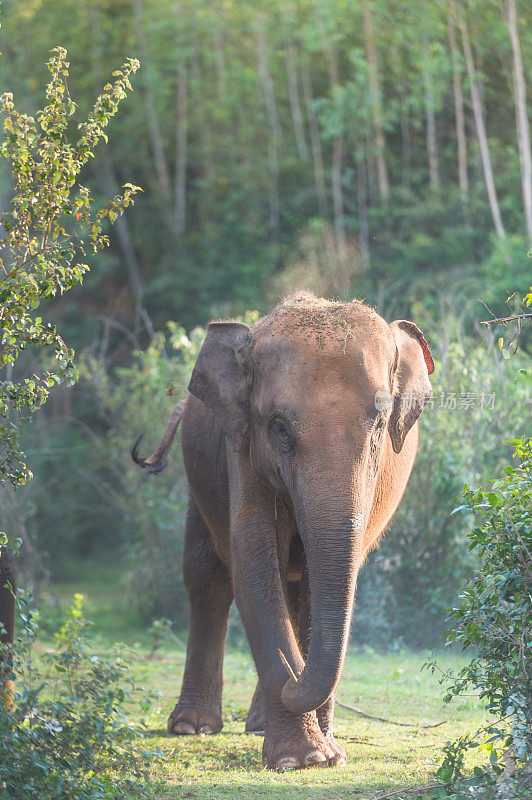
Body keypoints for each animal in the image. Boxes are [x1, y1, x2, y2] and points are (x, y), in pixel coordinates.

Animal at [132, 292, 432, 768]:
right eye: (278, 427)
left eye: (381, 425)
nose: (295, 679)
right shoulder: (242, 450)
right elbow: (254, 570)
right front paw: (303, 758)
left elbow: (316, 583)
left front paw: (326, 751)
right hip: (200, 479)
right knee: (207, 577)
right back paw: (192, 727)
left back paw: (258, 722)